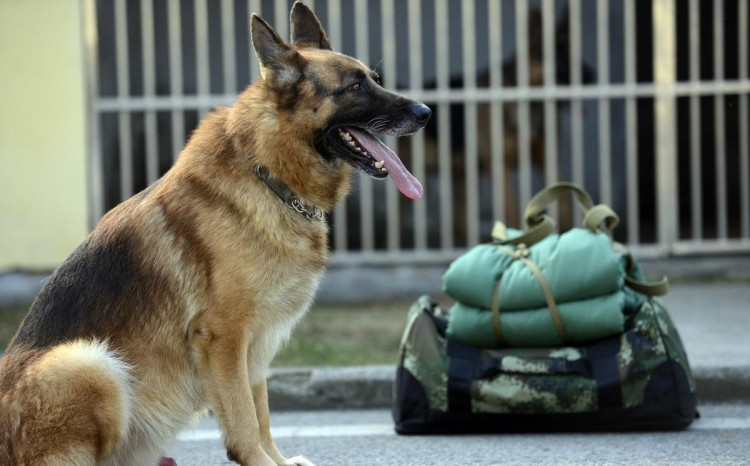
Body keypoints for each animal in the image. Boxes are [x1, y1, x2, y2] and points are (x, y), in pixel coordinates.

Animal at [0, 1, 432, 464]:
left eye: (373, 79)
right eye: (354, 86)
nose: (426, 112)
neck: (267, 174)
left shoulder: (255, 345)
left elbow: (261, 414)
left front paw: (278, 461)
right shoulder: (224, 338)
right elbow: (243, 420)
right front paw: (259, 461)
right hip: (89, 362)